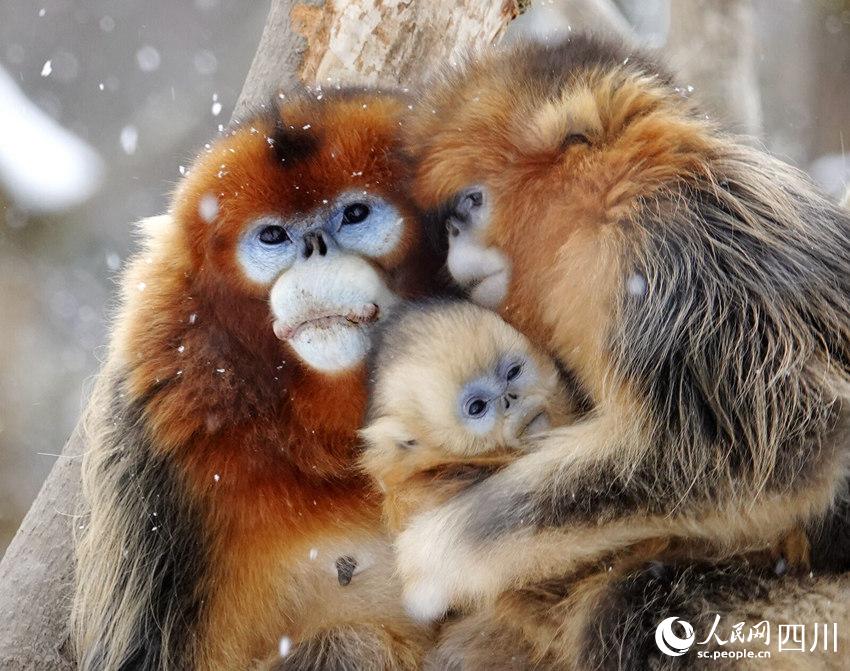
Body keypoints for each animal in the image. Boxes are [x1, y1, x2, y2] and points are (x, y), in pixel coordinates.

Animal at [394, 35, 848, 668]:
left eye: (472, 202)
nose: (454, 239)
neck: (615, 201)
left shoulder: (678, 256)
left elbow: (784, 444)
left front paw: (440, 553)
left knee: (632, 607)